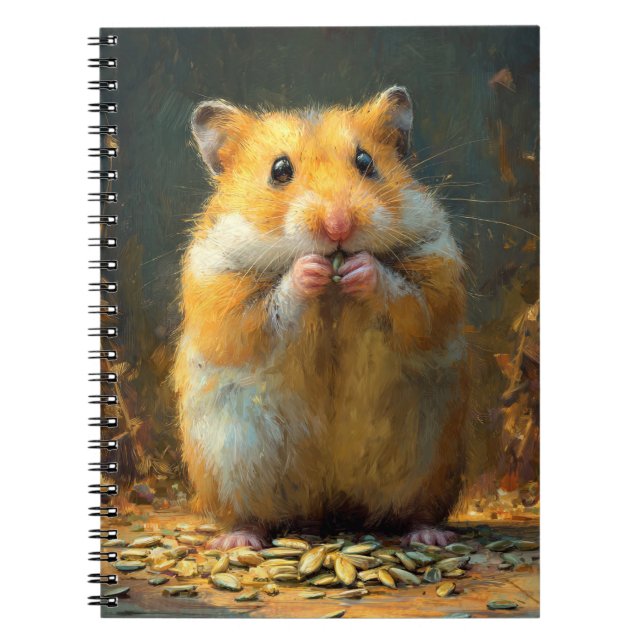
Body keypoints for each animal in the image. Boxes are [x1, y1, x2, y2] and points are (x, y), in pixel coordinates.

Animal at [173, 86, 469, 550]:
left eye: (365, 161)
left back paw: (430, 536)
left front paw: (360, 268)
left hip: (432, 465)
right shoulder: (219, 289)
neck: (333, 299)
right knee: (250, 515)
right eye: (279, 170)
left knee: (414, 511)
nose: (338, 226)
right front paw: (308, 269)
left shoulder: (438, 269)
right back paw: (239, 541)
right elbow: (259, 313)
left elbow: (413, 302)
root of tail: (328, 507)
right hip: (230, 464)